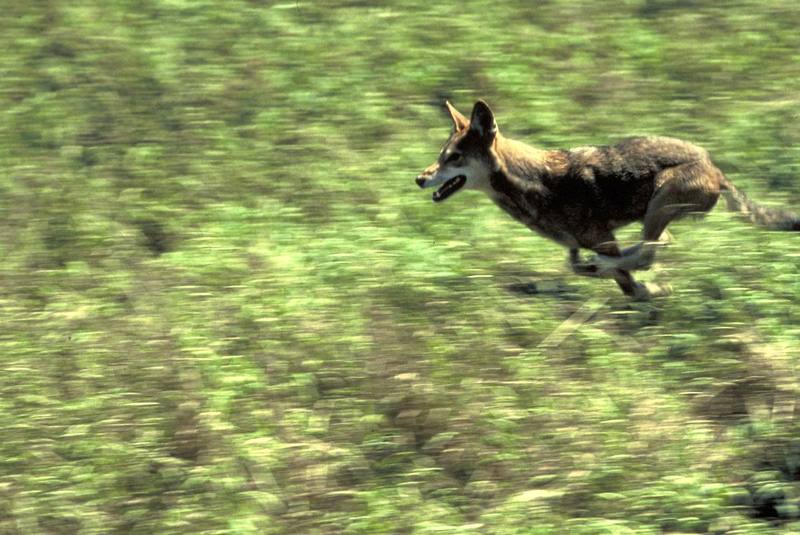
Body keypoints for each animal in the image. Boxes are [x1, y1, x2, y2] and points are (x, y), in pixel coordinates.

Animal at [416, 100, 796, 300]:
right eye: (441, 156)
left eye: (454, 158)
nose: (419, 178)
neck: (534, 183)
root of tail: (715, 167)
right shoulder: (580, 243)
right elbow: (578, 265)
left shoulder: (602, 238)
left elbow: (627, 280)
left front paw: (644, 288)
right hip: (655, 214)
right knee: (656, 245)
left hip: (661, 198)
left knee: (649, 251)